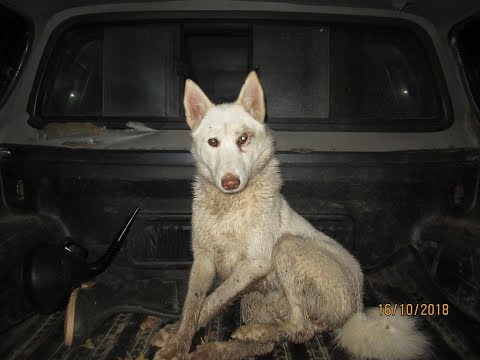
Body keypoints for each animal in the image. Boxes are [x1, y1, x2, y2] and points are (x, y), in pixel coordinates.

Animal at [151, 71, 428, 360]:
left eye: (243, 139)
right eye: (213, 143)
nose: (230, 182)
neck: (229, 207)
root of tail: (357, 308)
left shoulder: (256, 263)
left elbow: (211, 299)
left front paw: (174, 345)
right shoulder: (203, 261)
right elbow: (194, 305)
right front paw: (177, 336)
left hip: (287, 248)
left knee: (300, 328)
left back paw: (254, 332)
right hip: (253, 298)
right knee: (276, 340)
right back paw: (220, 347)